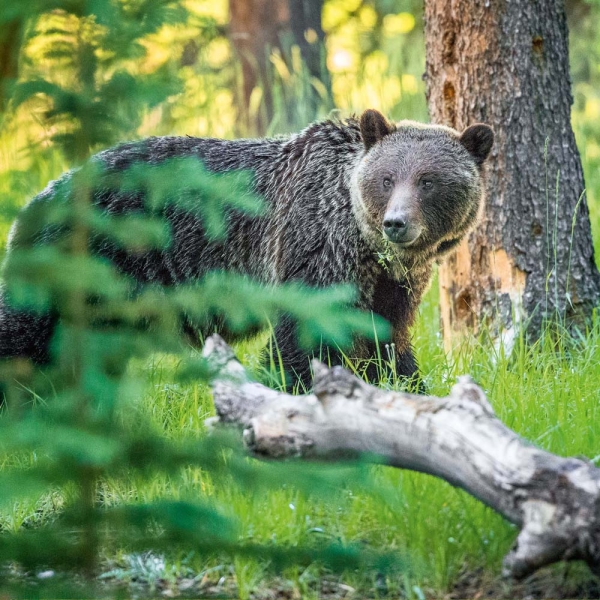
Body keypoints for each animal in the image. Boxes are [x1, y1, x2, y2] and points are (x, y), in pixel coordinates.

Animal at [0, 108, 492, 390]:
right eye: (388, 178)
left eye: (428, 181)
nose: (396, 223)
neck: (363, 243)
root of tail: (36, 199)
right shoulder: (311, 245)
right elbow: (302, 339)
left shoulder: (392, 284)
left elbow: (386, 339)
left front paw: (410, 388)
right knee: (24, 334)